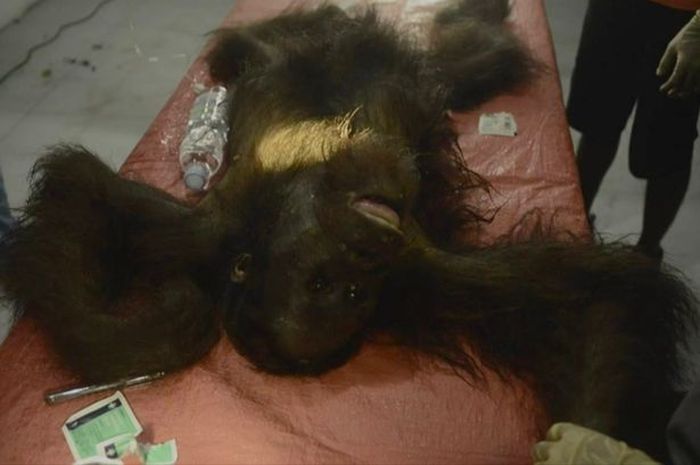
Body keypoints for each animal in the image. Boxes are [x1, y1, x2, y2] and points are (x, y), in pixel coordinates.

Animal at [0, 1, 696, 461]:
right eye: (337, 287)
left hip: (326, 46)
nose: (371, 249)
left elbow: (86, 193)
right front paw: (176, 317)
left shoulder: (211, 229)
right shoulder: (423, 270)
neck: (300, 183)